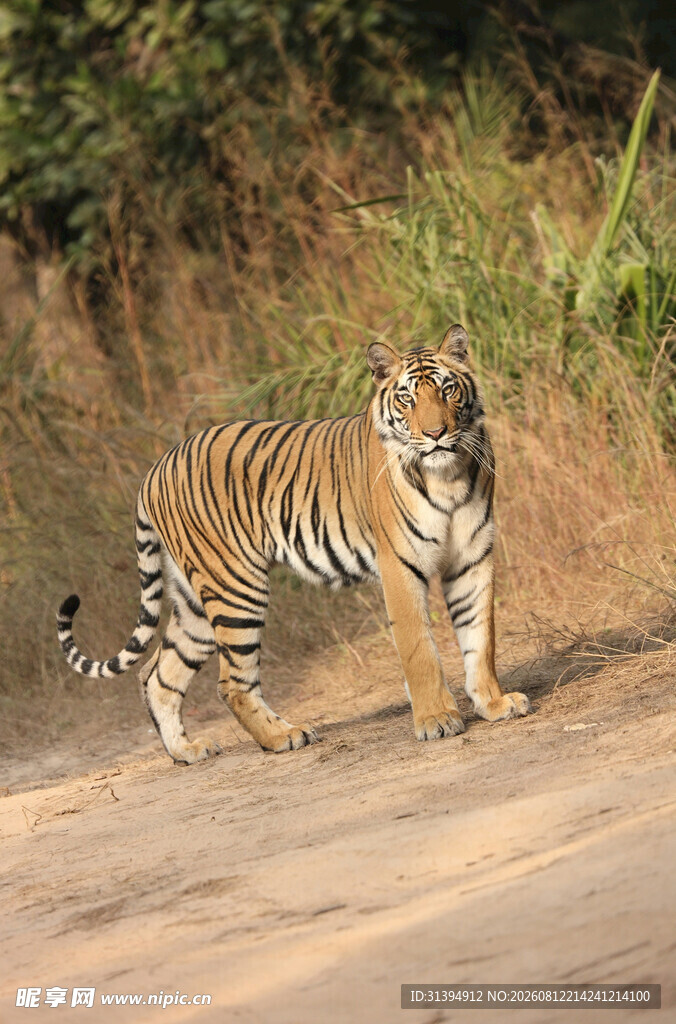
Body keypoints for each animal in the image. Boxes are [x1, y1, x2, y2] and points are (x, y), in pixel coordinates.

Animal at [57, 324, 530, 764]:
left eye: (448, 390)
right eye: (406, 400)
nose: (435, 434)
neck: (447, 474)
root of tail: (154, 469)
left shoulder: (472, 558)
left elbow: (480, 636)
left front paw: (494, 703)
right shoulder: (399, 566)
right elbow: (419, 649)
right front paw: (436, 720)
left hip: (194, 602)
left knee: (158, 675)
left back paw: (188, 751)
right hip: (235, 587)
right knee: (231, 683)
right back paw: (284, 736)